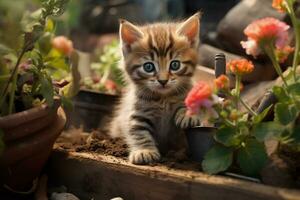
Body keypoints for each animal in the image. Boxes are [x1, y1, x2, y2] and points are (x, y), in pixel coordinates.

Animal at [110, 13, 202, 165]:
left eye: (175, 65)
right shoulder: (137, 113)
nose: (163, 81)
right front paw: (144, 151)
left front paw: (188, 114)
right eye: (148, 67)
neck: (163, 98)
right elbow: (138, 131)